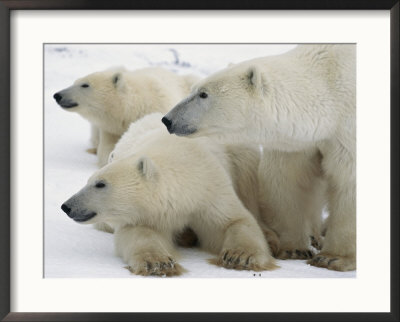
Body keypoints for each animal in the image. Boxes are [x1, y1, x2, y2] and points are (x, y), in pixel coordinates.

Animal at [61, 132, 276, 276]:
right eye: (89, 180)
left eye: (100, 184)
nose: (67, 206)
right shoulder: (146, 214)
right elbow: (139, 233)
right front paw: (158, 263)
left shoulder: (210, 189)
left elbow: (233, 220)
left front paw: (240, 257)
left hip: (243, 160)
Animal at [162, 44, 356, 272]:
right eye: (193, 89)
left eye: (203, 94)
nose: (167, 119)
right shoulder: (298, 143)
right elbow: (286, 180)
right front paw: (293, 249)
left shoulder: (347, 131)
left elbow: (348, 185)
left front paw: (333, 258)